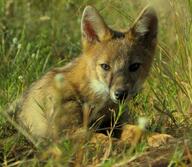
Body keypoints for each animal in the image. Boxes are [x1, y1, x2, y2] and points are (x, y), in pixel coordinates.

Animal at [16, 5, 158, 142]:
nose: (120, 94)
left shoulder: (113, 124)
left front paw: (157, 137)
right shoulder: (67, 132)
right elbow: (107, 141)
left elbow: (138, 130)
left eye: (134, 66)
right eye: (105, 66)